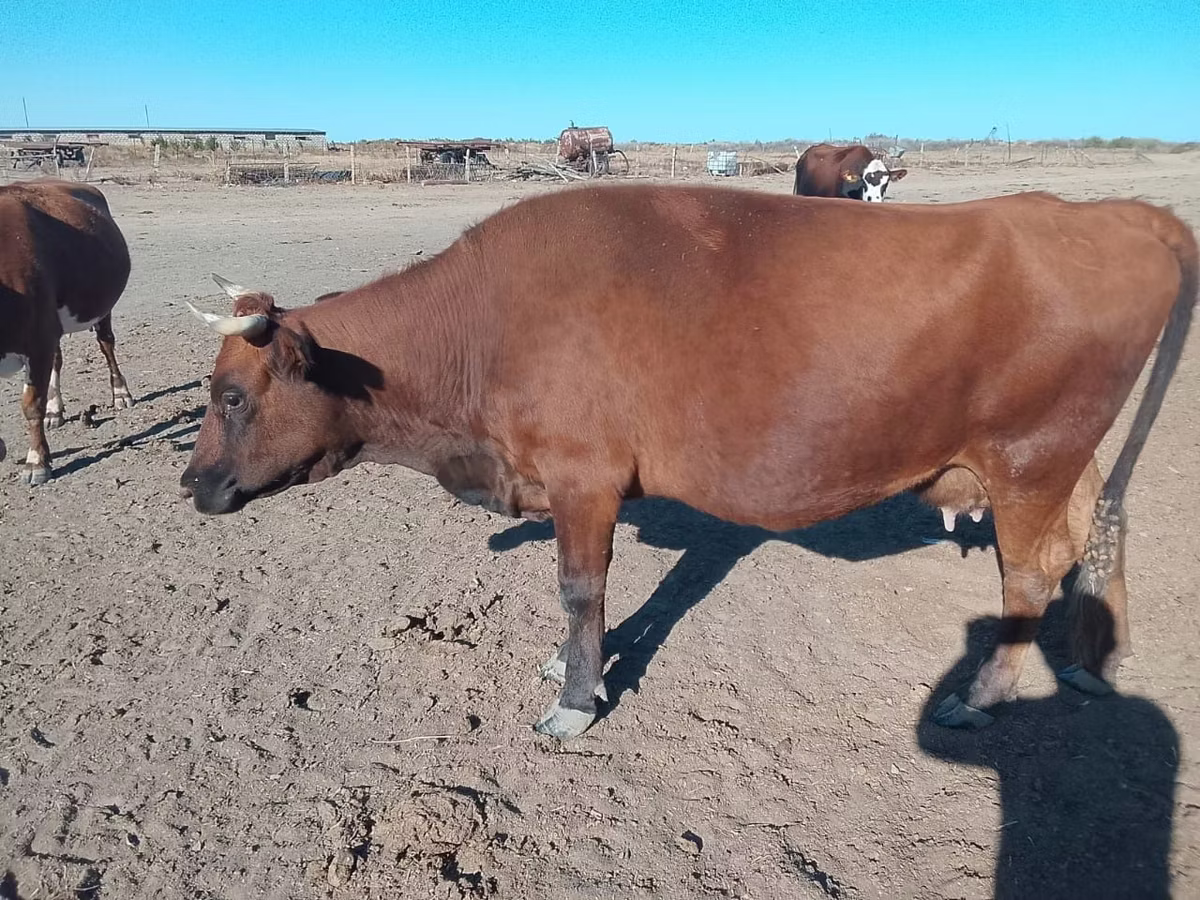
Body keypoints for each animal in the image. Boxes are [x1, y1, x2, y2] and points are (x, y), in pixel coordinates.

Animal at [1, 180, 135, 485]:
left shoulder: (38, 340)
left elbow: (31, 404)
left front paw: (37, 462)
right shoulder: (45, 334)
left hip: (101, 308)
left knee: (106, 344)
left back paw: (121, 393)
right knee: (58, 360)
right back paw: (55, 409)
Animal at [180, 183, 1196, 742]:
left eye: (231, 397)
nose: (192, 485)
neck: (487, 322)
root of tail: (1115, 215)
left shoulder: (584, 479)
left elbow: (580, 589)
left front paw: (576, 700)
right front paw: (573, 669)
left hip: (1029, 457)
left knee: (1028, 574)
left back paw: (981, 696)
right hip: (1064, 458)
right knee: (1095, 531)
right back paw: (1095, 656)